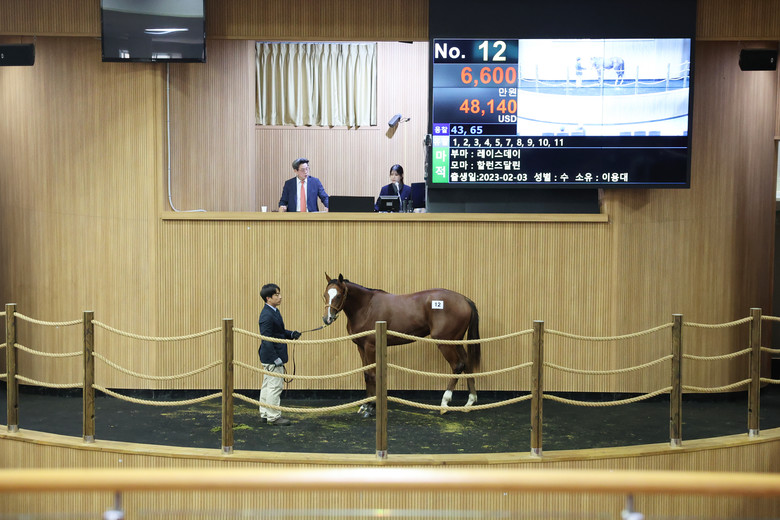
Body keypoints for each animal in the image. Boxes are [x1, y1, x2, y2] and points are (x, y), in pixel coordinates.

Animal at [322, 273, 481, 417]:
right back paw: (470, 402)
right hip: (457, 342)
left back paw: (444, 403)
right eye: (325, 295)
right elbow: (366, 374)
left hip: (445, 342)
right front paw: (365, 405)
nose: (327, 318)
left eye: (338, 295)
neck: (366, 306)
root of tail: (464, 300)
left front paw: (371, 407)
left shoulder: (370, 347)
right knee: (467, 364)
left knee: (457, 365)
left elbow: (372, 375)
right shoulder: (361, 347)